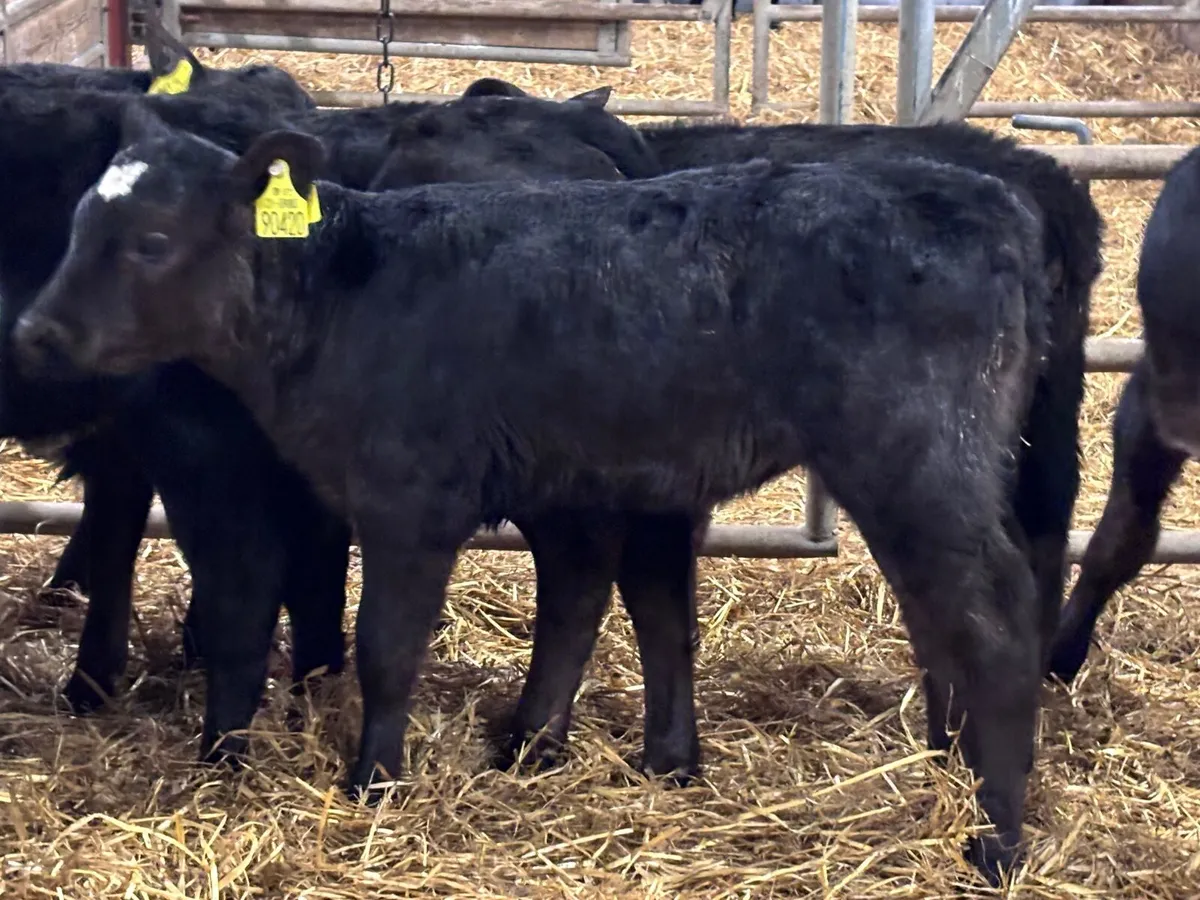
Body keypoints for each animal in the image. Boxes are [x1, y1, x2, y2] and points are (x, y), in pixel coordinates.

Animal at [14, 102, 1053, 885]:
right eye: (78, 225)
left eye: (152, 241)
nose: (35, 332)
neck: (346, 298)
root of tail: (980, 199)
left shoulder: (411, 500)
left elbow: (387, 648)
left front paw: (371, 784)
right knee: (942, 614)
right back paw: (949, 773)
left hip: (915, 460)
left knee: (996, 622)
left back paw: (994, 837)